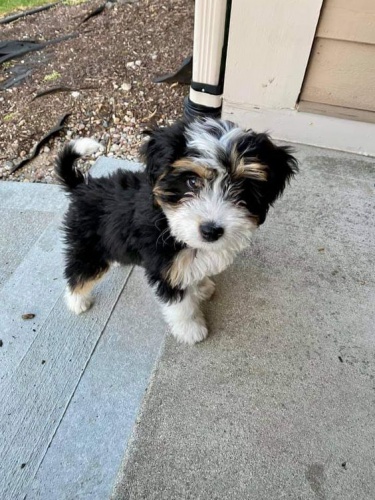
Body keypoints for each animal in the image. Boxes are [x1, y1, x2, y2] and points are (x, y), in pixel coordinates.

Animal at [55, 118, 298, 344]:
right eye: (191, 181)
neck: (167, 222)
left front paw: (201, 286)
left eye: (241, 187)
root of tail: (82, 186)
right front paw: (191, 330)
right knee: (79, 272)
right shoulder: (166, 269)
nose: (211, 231)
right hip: (87, 245)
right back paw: (77, 301)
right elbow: (182, 307)